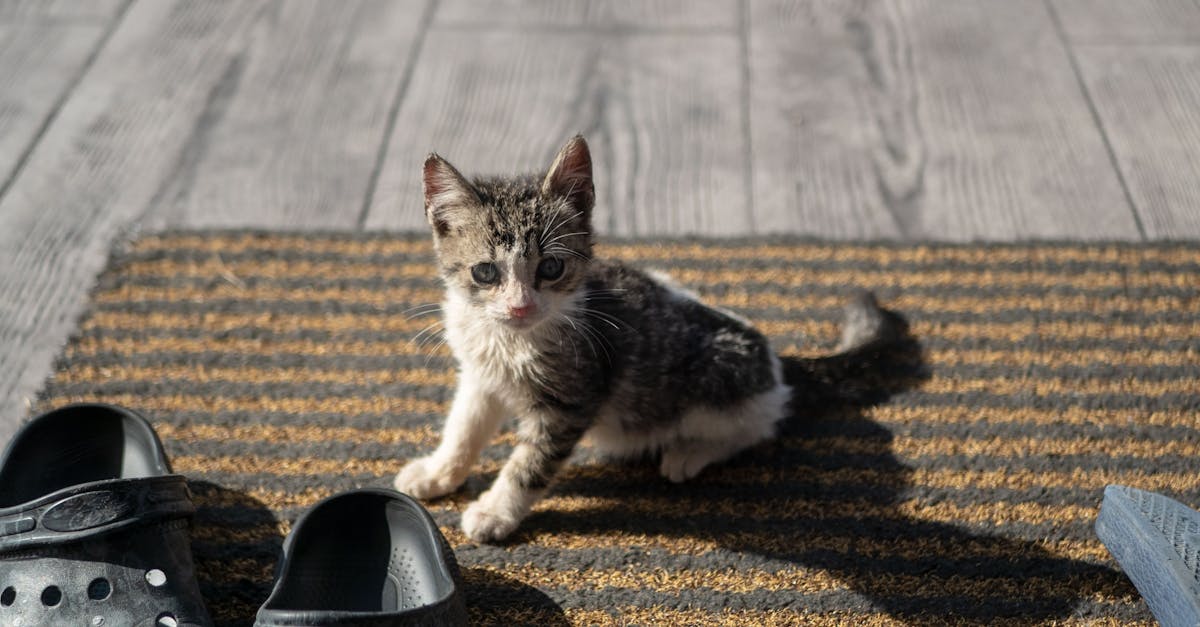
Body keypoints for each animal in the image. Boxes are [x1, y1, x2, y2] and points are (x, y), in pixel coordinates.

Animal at [393, 133, 892, 538]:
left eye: (551, 267)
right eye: (485, 272)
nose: (521, 306)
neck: (510, 339)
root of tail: (774, 358)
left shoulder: (575, 397)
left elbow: (530, 463)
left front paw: (495, 512)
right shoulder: (480, 373)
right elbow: (464, 425)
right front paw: (439, 470)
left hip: (716, 382)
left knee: (759, 423)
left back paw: (689, 453)